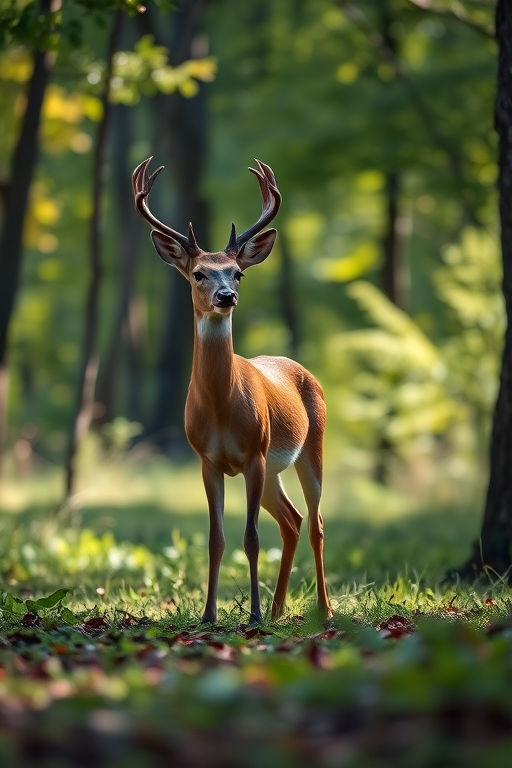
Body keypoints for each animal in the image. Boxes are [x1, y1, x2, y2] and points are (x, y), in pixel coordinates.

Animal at [132, 156, 332, 625]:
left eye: (238, 272)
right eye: (199, 273)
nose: (226, 296)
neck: (221, 408)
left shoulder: (255, 453)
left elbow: (251, 538)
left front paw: (252, 616)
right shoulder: (207, 460)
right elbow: (216, 539)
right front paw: (209, 615)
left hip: (309, 447)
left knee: (315, 523)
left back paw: (322, 610)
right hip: (275, 470)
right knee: (292, 520)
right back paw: (278, 610)